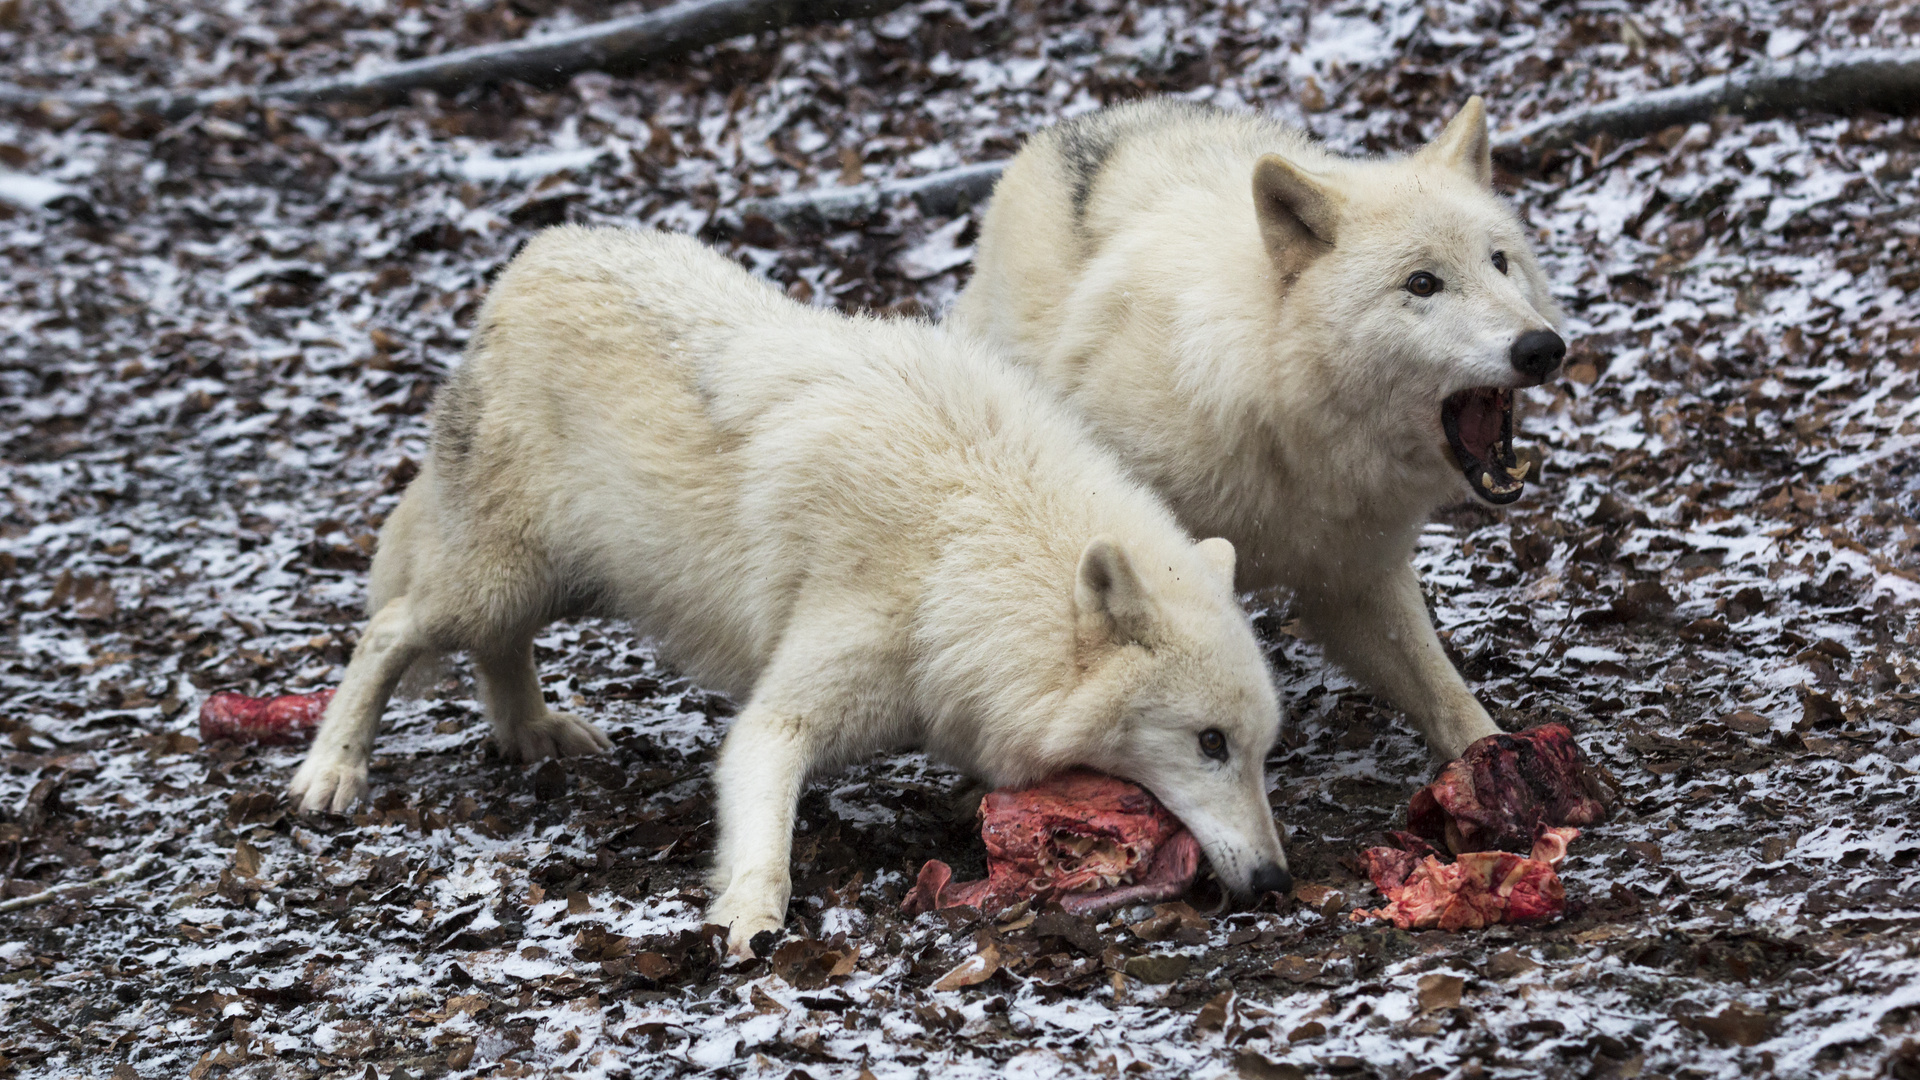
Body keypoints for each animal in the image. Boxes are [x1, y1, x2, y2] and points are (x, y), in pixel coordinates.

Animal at [952, 96, 1566, 760]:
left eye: (1499, 261)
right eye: (1422, 283)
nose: (1542, 349)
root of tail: (1073, 125)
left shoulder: (1353, 577)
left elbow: (1447, 695)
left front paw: (1499, 760)